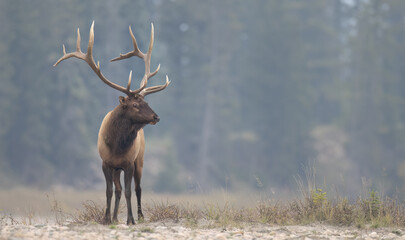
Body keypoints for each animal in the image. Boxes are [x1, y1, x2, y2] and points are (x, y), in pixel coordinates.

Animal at [53, 21, 169, 224]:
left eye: (147, 102)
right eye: (135, 104)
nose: (156, 117)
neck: (117, 145)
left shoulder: (129, 163)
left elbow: (130, 191)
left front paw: (130, 219)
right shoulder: (105, 163)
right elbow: (109, 191)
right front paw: (106, 218)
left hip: (140, 159)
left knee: (137, 188)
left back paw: (140, 216)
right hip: (117, 168)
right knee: (118, 190)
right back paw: (115, 217)